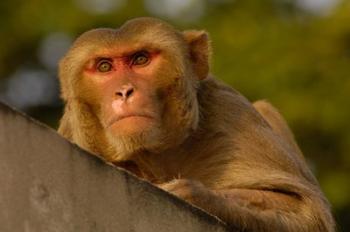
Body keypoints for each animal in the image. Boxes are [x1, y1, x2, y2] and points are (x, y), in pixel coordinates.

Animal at [58, 17, 336, 231]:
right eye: (105, 66)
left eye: (140, 59)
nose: (124, 91)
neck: (155, 156)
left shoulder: (230, 113)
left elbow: (307, 211)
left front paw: (191, 193)